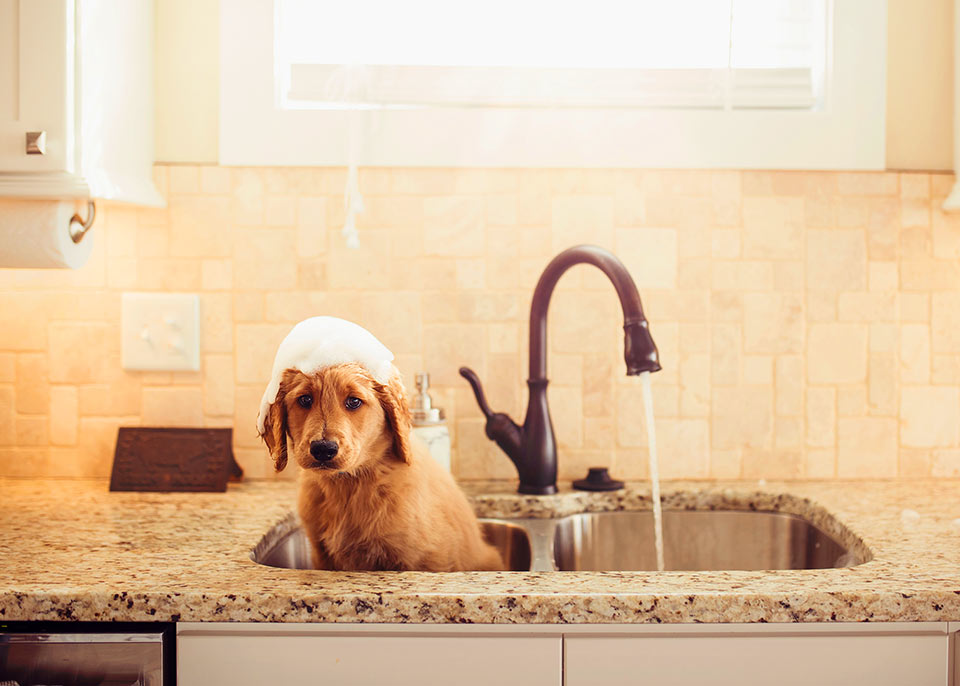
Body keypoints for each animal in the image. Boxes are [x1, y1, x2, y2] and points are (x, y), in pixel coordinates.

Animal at [258, 366, 506, 576]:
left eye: (354, 401)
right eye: (305, 399)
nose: (323, 449)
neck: (348, 484)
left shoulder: (421, 557)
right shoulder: (321, 553)